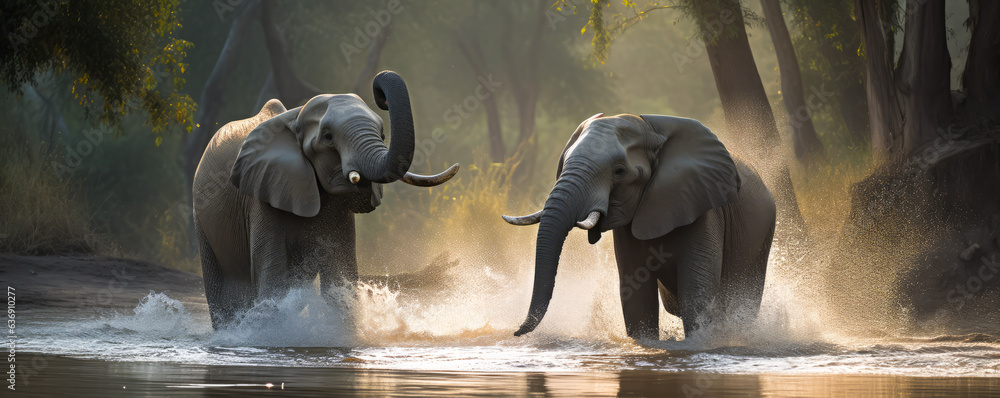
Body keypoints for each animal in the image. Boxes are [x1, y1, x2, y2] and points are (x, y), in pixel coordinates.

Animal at [191, 71, 458, 330]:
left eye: (383, 134)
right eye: (328, 137)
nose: (380, 94)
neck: (296, 116)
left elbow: (340, 273)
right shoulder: (261, 194)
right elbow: (272, 271)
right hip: (201, 215)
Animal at [504, 113, 776, 340]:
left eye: (619, 172)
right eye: (563, 164)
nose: (516, 332)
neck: (650, 127)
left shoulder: (704, 208)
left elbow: (696, 292)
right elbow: (637, 296)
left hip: (764, 234)